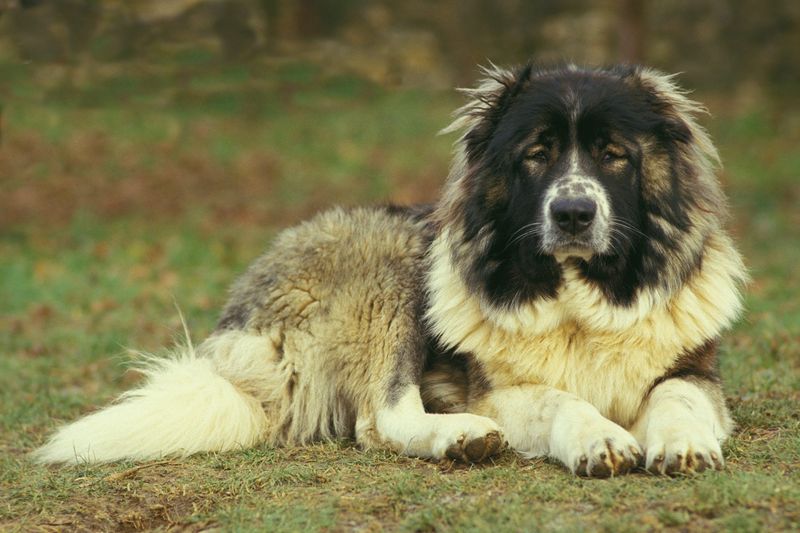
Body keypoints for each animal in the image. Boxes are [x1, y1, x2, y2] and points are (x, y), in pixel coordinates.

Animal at [34, 64, 748, 476]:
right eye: (538, 155)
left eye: (613, 154)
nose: (573, 212)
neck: (576, 301)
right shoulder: (493, 390)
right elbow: (559, 399)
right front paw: (598, 439)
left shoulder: (694, 370)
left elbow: (678, 396)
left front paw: (682, 445)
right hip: (394, 263)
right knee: (381, 420)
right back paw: (461, 439)